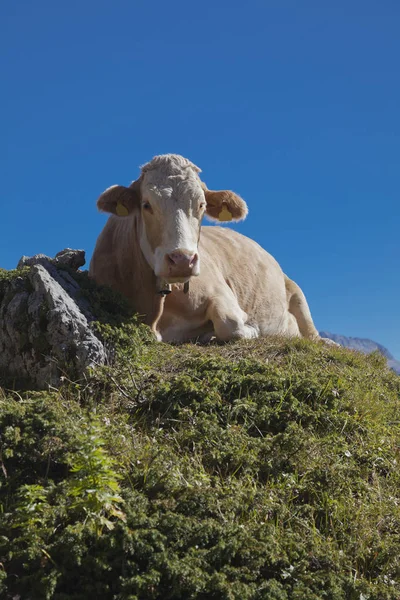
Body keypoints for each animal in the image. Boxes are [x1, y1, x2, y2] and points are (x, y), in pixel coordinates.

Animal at [89, 152, 320, 344]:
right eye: (146, 205)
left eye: (202, 205)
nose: (182, 260)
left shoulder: (222, 293)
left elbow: (230, 324)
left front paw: (249, 330)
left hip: (296, 293)